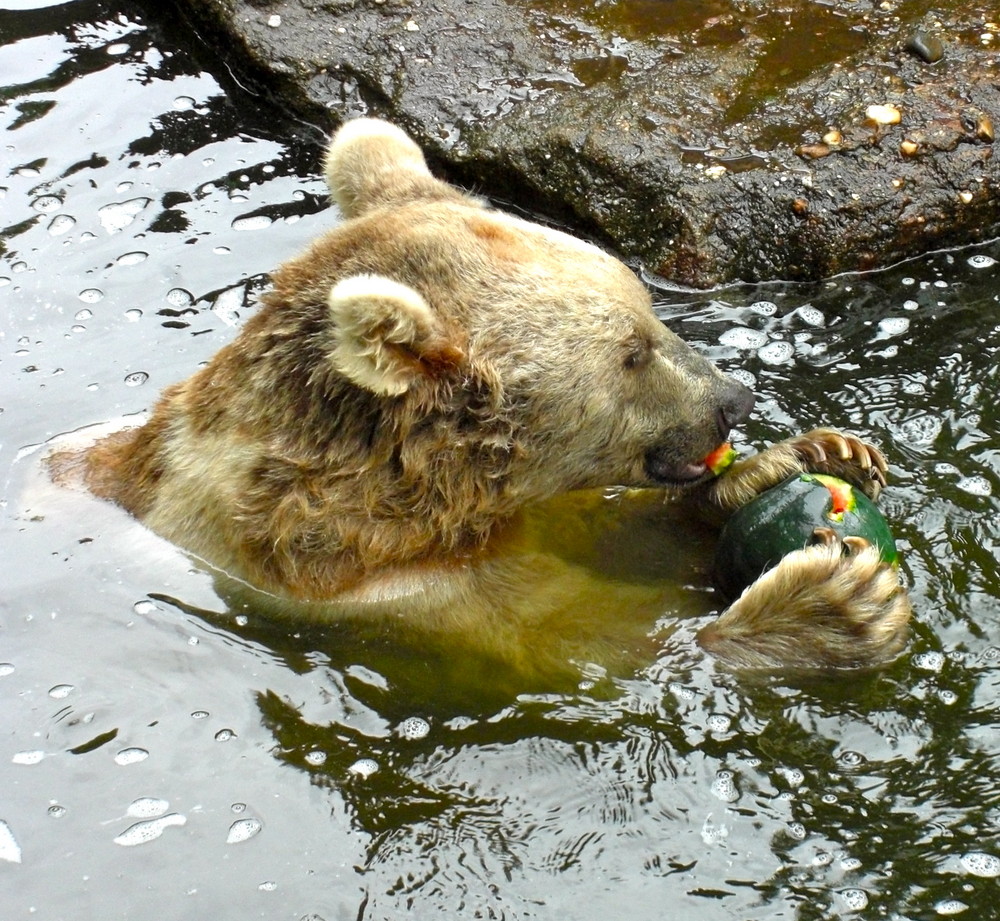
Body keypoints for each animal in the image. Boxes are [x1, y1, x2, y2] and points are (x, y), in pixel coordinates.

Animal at [68, 118, 916, 672]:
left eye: (650, 312)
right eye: (631, 352)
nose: (732, 400)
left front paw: (808, 456)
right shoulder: (387, 595)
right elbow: (597, 634)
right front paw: (831, 607)